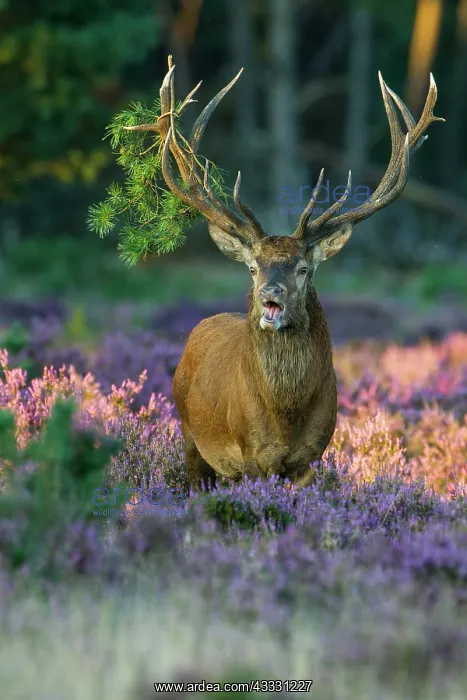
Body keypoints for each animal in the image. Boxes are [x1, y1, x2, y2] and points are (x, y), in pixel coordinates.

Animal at [126, 59, 443, 493]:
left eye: (303, 268)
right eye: (252, 267)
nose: (269, 295)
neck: (285, 419)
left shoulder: (313, 456)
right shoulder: (250, 455)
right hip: (190, 436)